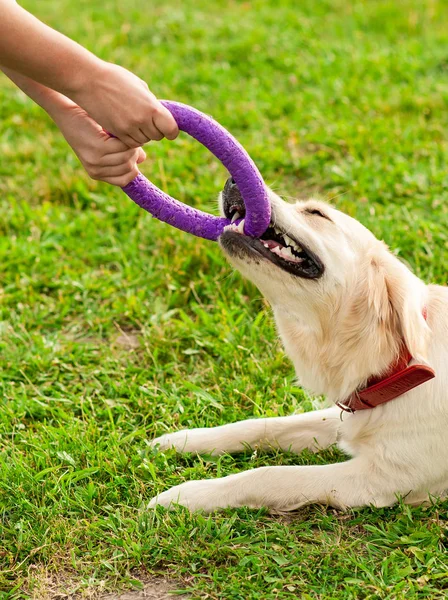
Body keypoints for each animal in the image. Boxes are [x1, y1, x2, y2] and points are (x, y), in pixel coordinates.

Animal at [149, 177, 446, 510]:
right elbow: (263, 424)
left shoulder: (382, 478)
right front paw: (185, 439)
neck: (399, 366)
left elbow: (269, 474)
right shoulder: (347, 415)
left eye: (316, 213)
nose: (231, 180)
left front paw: (186, 495)